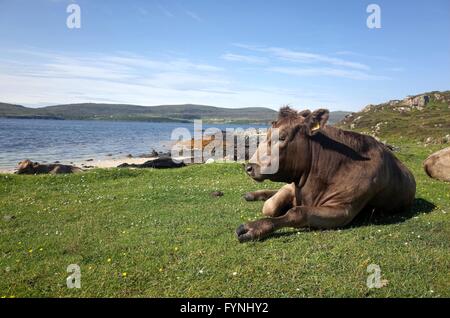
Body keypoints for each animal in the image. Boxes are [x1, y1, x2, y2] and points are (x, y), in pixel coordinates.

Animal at [237, 108, 416, 242]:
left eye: (281, 137)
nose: (249, 167)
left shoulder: (344, 209)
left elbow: (297, 212)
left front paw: (253, 227)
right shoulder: (294, 187)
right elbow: (270, 207)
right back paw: (252, 194)